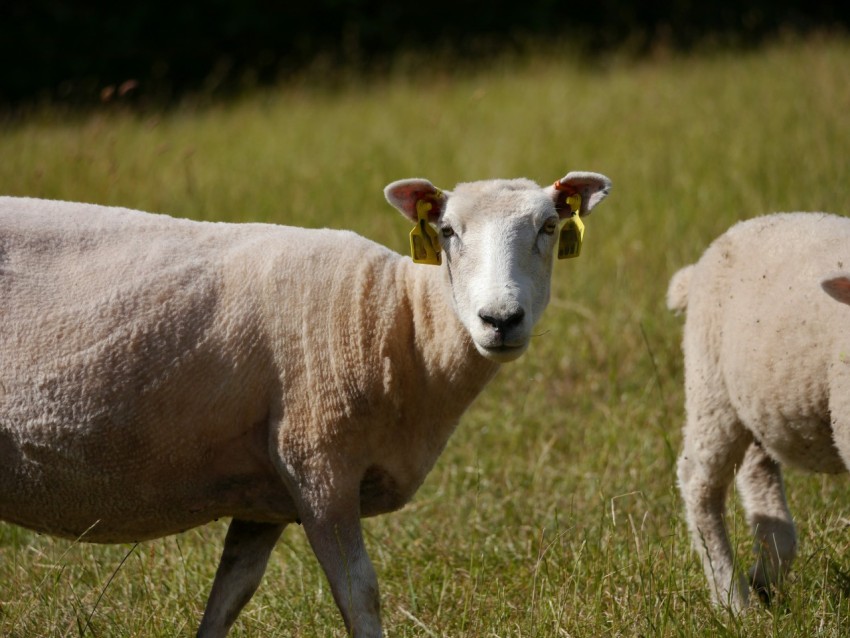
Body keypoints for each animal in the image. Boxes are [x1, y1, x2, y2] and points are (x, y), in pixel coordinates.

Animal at [0, 170, 608, 638]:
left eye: (549, 228)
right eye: (448, 231)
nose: (500, 320)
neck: (397, 320)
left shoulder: (262, 496)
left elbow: (230, 595)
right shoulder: (317, 463)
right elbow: (360, 595)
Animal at [668, 212, 850, 612]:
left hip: (757, 401)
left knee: (757, 472)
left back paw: (767, 569)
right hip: (711, 388)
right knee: (699, 485)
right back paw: (732, 600)